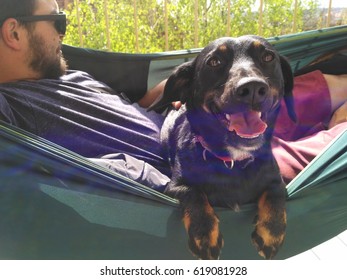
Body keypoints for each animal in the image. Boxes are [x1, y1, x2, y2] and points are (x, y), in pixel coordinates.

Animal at [149, 35, 296, 260]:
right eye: (214, 61)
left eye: (268, 57)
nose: (252, 88)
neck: (233, 160)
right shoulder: (175, 185)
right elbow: (194, 194)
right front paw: (204, 236)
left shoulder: (276, 178)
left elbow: (276, 194)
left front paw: (271, 233)